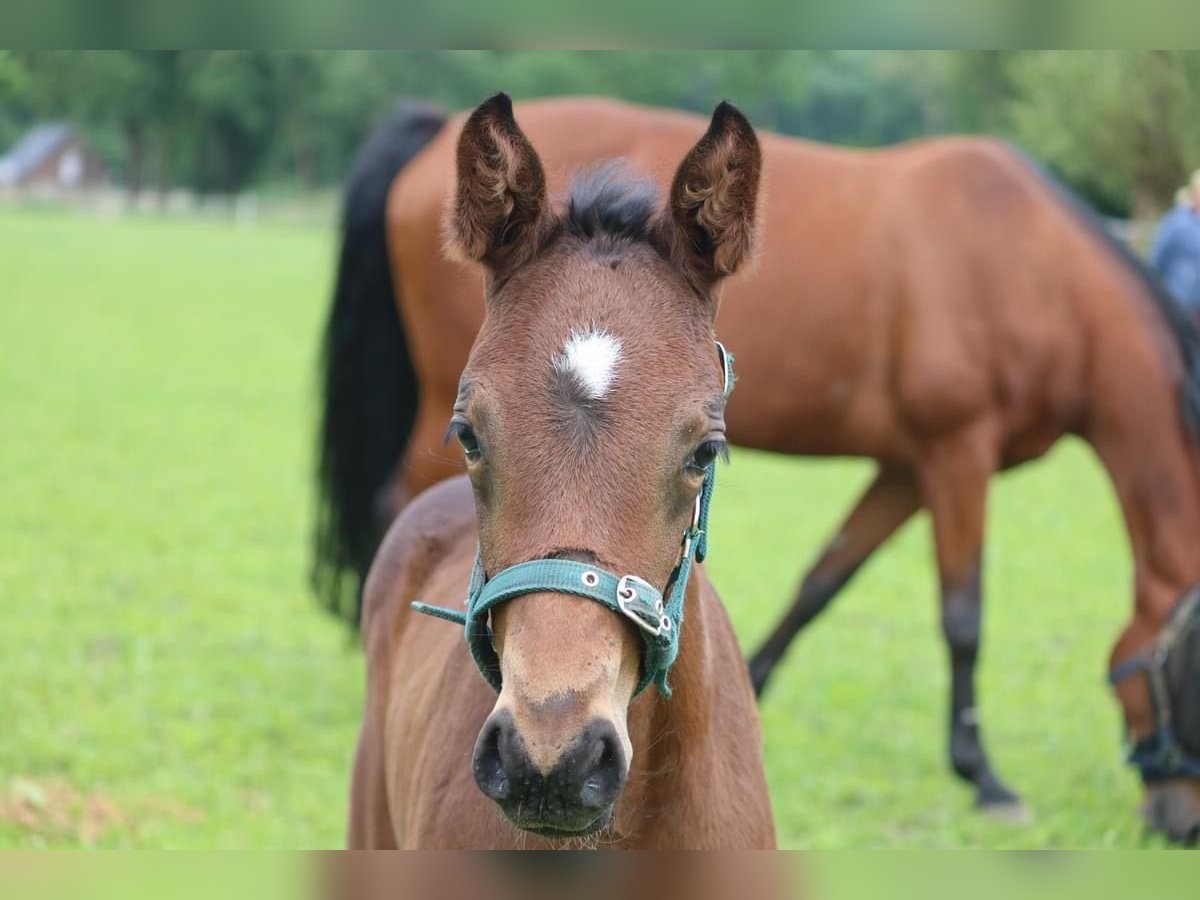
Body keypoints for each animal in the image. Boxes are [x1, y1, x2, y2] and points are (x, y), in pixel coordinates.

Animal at [316, 95, 1200, 844]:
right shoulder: (957, 449)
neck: (1028, 263)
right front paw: (986, 779)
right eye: (473, 436)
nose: (1178, 819)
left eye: (707, 451)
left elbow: (823, 581)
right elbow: (963, 615)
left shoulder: (907, 465)